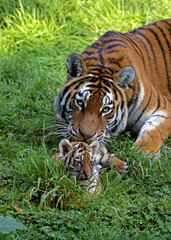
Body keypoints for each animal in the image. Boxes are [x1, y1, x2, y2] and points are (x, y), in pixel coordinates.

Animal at [54, 18, 171, 154]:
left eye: (105, 109)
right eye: (80, 103)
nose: (86, 136)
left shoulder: (164, 108)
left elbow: (152, 132)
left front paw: (143, 151)